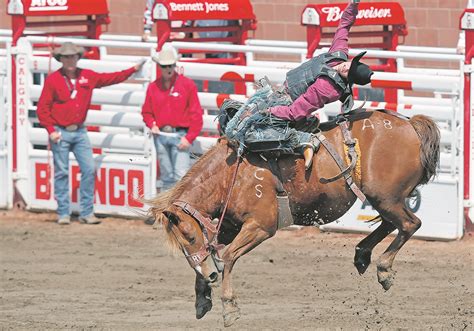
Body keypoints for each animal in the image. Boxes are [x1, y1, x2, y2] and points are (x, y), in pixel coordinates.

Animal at [149, 110, 440, 328]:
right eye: (182, 242)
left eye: (189, 235)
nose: (208, 277)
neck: (232, 173)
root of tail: (410, 125)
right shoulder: (228, 227)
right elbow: (211, 255)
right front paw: (202, 298)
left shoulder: (260, 226)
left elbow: (227, 257)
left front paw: (229, 307)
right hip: (383, 198)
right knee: (392, 223)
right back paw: (362, 254)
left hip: (385, 197)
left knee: (410, 224)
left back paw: (383, 269)